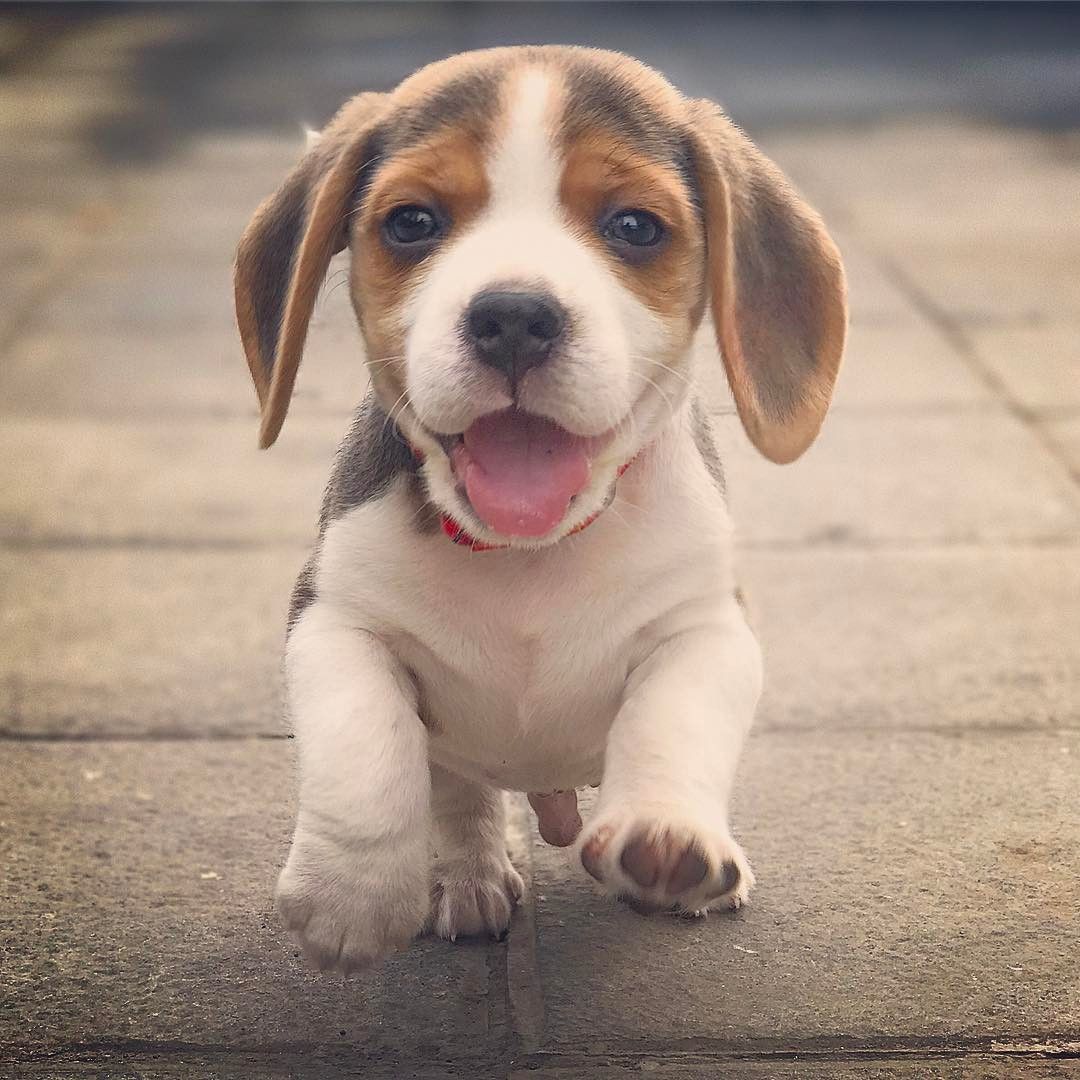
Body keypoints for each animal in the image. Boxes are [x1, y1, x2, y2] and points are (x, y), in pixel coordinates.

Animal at [234, 44, 842, 972]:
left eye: (635, 227)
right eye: (411, 222)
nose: (514, 315)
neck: (529, 553)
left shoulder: (707, 625)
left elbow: (673, 717)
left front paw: (665, 836)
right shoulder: (332, 616)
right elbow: (364, 745)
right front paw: (352, 895)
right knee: (459, 795)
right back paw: (472, 876)